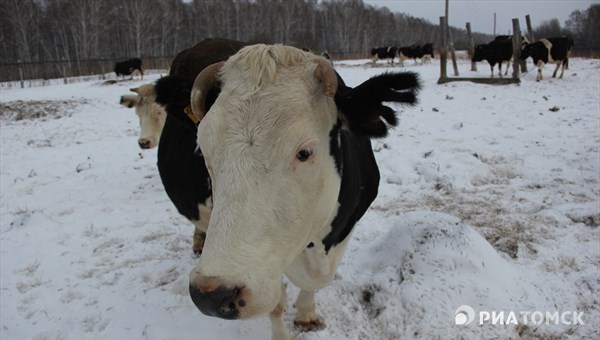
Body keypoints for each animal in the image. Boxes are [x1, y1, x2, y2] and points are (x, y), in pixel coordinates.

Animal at [158, 43, 422, 338]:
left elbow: (313, 284)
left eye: (304, 152)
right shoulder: (268, 267)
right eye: (203, 149)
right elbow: (277, 302)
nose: (211, 295)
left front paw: (307, 314)